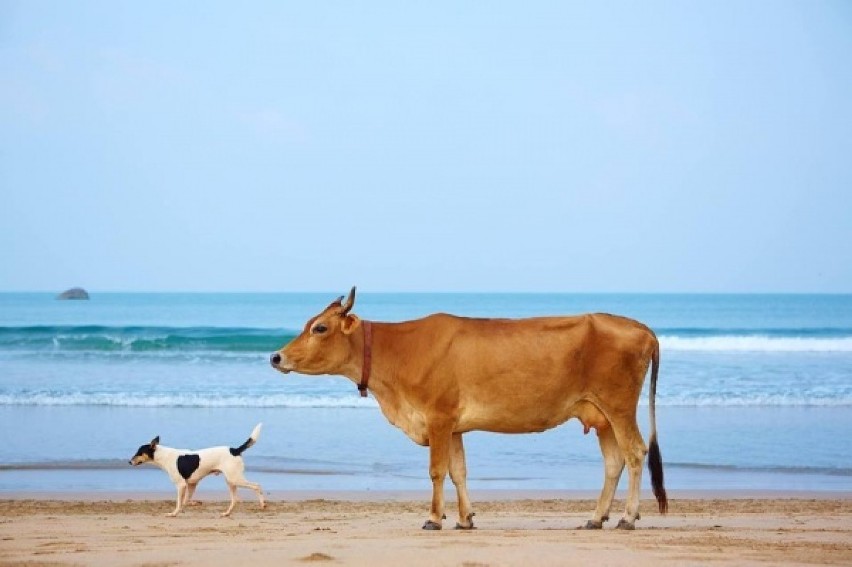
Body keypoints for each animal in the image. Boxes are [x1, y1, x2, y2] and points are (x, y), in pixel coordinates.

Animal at [128, 424, 262, 516]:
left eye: (139, 452)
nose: (129, 462)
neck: (164, 456)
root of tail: (235, 450)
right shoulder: (192, 484)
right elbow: (185, 500)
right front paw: (188, 507)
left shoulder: (181, 485)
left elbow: (179, 502)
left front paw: (174, 513)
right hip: (231, 481)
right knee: (234, 500)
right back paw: (226, 513)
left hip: (235, 479)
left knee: (257, 485)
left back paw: (262, 505)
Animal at [270, 288, 668, 532]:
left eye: (320, 327)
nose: (276, 357)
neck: (397, 353)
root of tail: (641, 328)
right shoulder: (455, 426)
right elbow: (458, 471)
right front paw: (465, 519)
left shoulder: (438, 417)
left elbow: (436, 471)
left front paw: (434, 518)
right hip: (601, 416)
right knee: (613, 462)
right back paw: (596, 517)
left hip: (619, 407)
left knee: (635, 453)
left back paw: (628, 517)